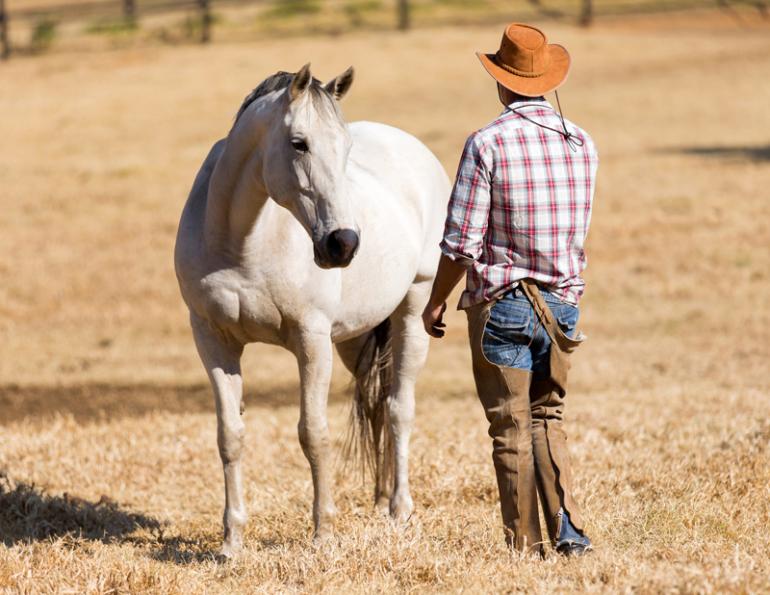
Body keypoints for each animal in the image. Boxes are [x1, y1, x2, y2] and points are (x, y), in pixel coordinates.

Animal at [174, 64, 450, 557]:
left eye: (346, 146)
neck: (241, 244)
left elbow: (313, 434)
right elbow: (230, 436)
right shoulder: (212, 340)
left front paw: (323, 533)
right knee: (376, 407)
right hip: (355, 339)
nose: (343, 244)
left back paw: (399, 508)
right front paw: (232, 541)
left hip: (412, 314)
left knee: (399, 408)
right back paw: (379, 500)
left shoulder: (311, 341)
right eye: (299, 142)